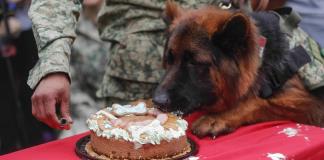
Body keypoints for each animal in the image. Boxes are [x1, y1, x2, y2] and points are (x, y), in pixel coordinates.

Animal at [153, 1, 324, 138]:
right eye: (169, 59)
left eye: (194, 62)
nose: (157, 101)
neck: (262, 57)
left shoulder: (313, 107)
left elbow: (257, 102)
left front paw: (216, 118)